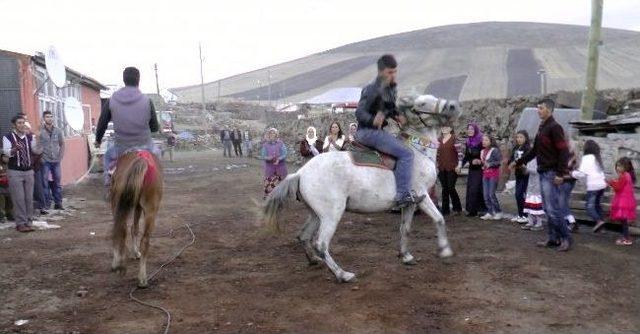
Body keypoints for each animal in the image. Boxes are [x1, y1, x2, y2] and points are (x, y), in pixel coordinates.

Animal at [109, 150, 162, 288]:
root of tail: (141, 161)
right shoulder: (139, 207)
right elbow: (135, 229)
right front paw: (136, 252)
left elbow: (129, 229)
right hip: (151, 210)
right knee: (145, 240)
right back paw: (142, 279)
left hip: (117, 204)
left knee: (120, 230)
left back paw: (117, 264)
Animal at [262, 94, 460, 282]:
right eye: (421, 103)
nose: (453, 106)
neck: (418, 152)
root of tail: (301, 173)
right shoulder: (422, 195)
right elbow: (439, 219)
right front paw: (445, 250)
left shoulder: (410, 203)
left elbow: (405, 228)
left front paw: (406, 256)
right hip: (331, 214)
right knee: (321, 244)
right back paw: (342, 274)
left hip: (316, 214)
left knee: (303, 236)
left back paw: (313, 261)